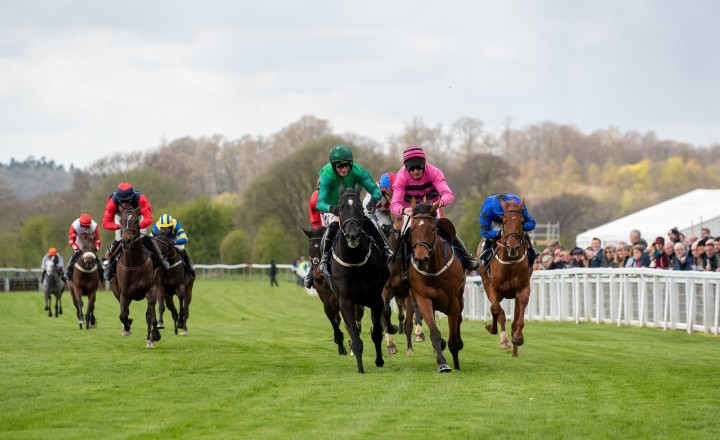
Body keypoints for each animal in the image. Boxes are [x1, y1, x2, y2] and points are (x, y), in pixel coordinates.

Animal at [109, 206, 162, 348]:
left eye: (136, 221)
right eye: (120, 221)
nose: (126, 241)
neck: (134, 262)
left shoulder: (150, 288)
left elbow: (150, 314)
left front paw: (155, 335)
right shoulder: (124, 293)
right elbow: (123, 314)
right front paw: (127, 327)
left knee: (148, 314)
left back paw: (149, 339)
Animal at [300, 225, 362, 356]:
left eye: (323, 249)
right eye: (309, 250)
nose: (318, 277)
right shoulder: (327, 303)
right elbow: (334, 322)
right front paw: (340, 344)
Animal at [330, 184, 390, 372]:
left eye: (360, 209)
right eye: (341, 208)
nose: (353, 236)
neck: (354, 261)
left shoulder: (375, 299)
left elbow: (376, 333)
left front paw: (379, 361)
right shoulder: (345, 300)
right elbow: (356, 339)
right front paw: (360, 369)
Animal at [404, 199, 466, 372]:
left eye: (432, 229)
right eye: (412, 229)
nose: (421, 259)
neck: (434, 270)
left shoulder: (453, 302)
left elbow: (453, 335)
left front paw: (456, 359)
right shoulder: (423, 298)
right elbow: (434, 333)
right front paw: (442, 362)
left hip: (461, 296)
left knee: (459, 319)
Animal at [478, 196, 536, 358]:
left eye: (522, 221)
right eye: (504, 221)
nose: (513, 247)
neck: (509, 262)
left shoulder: (523, 288)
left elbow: (518, 317)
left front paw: (518, 337)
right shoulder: (494, 288)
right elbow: (495, 309)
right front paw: (492, 328)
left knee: (513, 319)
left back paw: (514, 350)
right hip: (485, 282)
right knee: (499, 311)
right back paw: (503, 340)